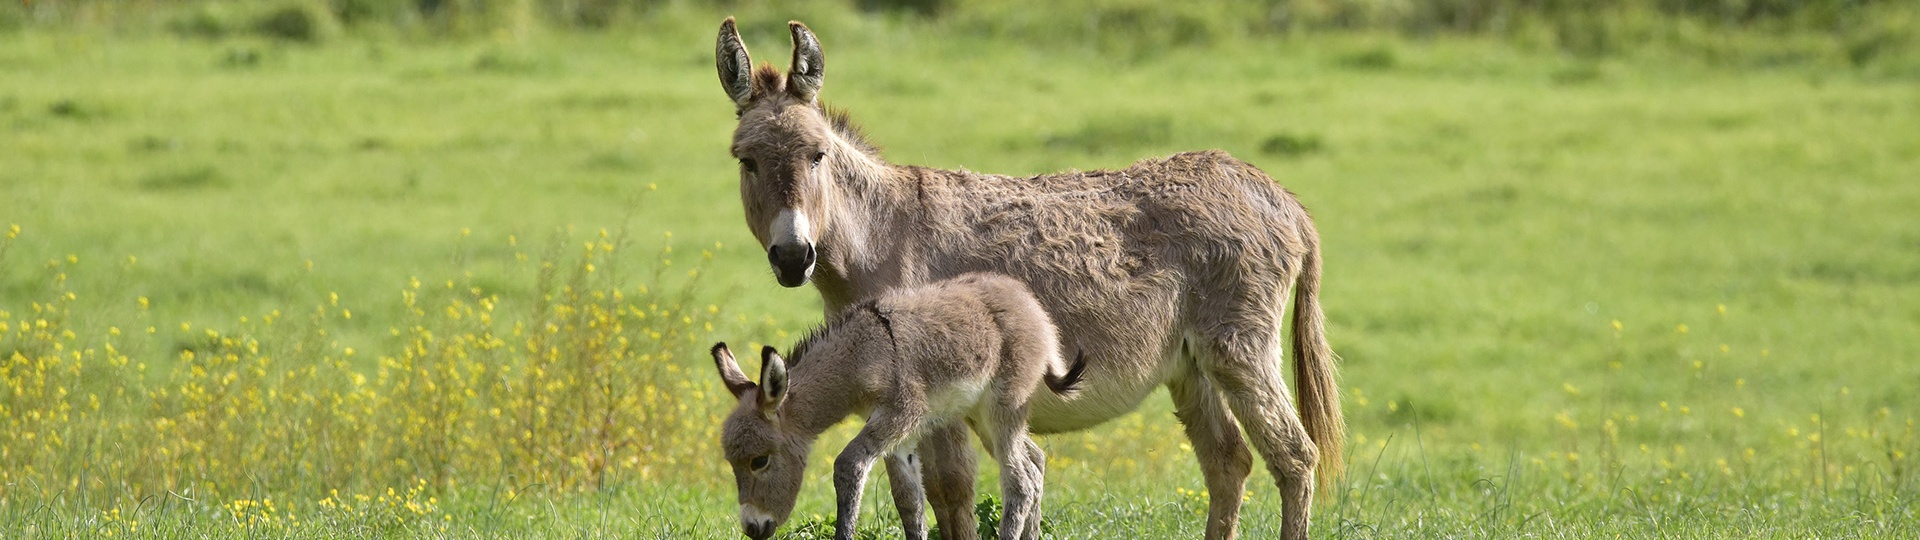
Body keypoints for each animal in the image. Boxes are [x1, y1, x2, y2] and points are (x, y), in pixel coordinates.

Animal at [714, 272, 1090, 538]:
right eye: (732, 464)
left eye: (759, 461)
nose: (752, 529)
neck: (864, 353)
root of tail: (1032, 306)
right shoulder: (896, 434)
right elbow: (908, 500)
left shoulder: (901, 414)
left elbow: (848, 465)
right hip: (982, 415)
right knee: (1034, 462)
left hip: (1004, 408)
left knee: (1019, 481)